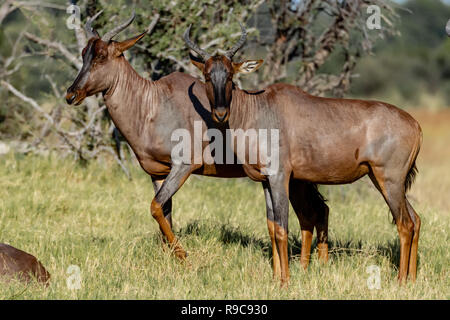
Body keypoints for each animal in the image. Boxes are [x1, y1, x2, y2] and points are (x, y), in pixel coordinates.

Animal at [65, 12, 328, 272]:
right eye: (84, 53)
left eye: (101, 55)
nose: (71, 94)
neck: (154, 103)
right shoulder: (158, 173)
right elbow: (165, 214)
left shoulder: (183, 167)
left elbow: (155, 207)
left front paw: (185, 258)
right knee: (317, 210)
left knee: (311, 212)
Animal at [183, 23, 422, 284]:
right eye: (207, 75)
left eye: (230, 75)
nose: (220, 114)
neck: (260, 108)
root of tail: (415, 125)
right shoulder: (266, 181)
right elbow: (271, 227)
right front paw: (276, 277)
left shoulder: (280, 177)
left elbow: (282, 228)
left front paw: (285, 281)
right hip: (385, 181)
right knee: (415, 219)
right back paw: (411, 279)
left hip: (389, 180)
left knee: (405, 224)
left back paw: (400, 280)